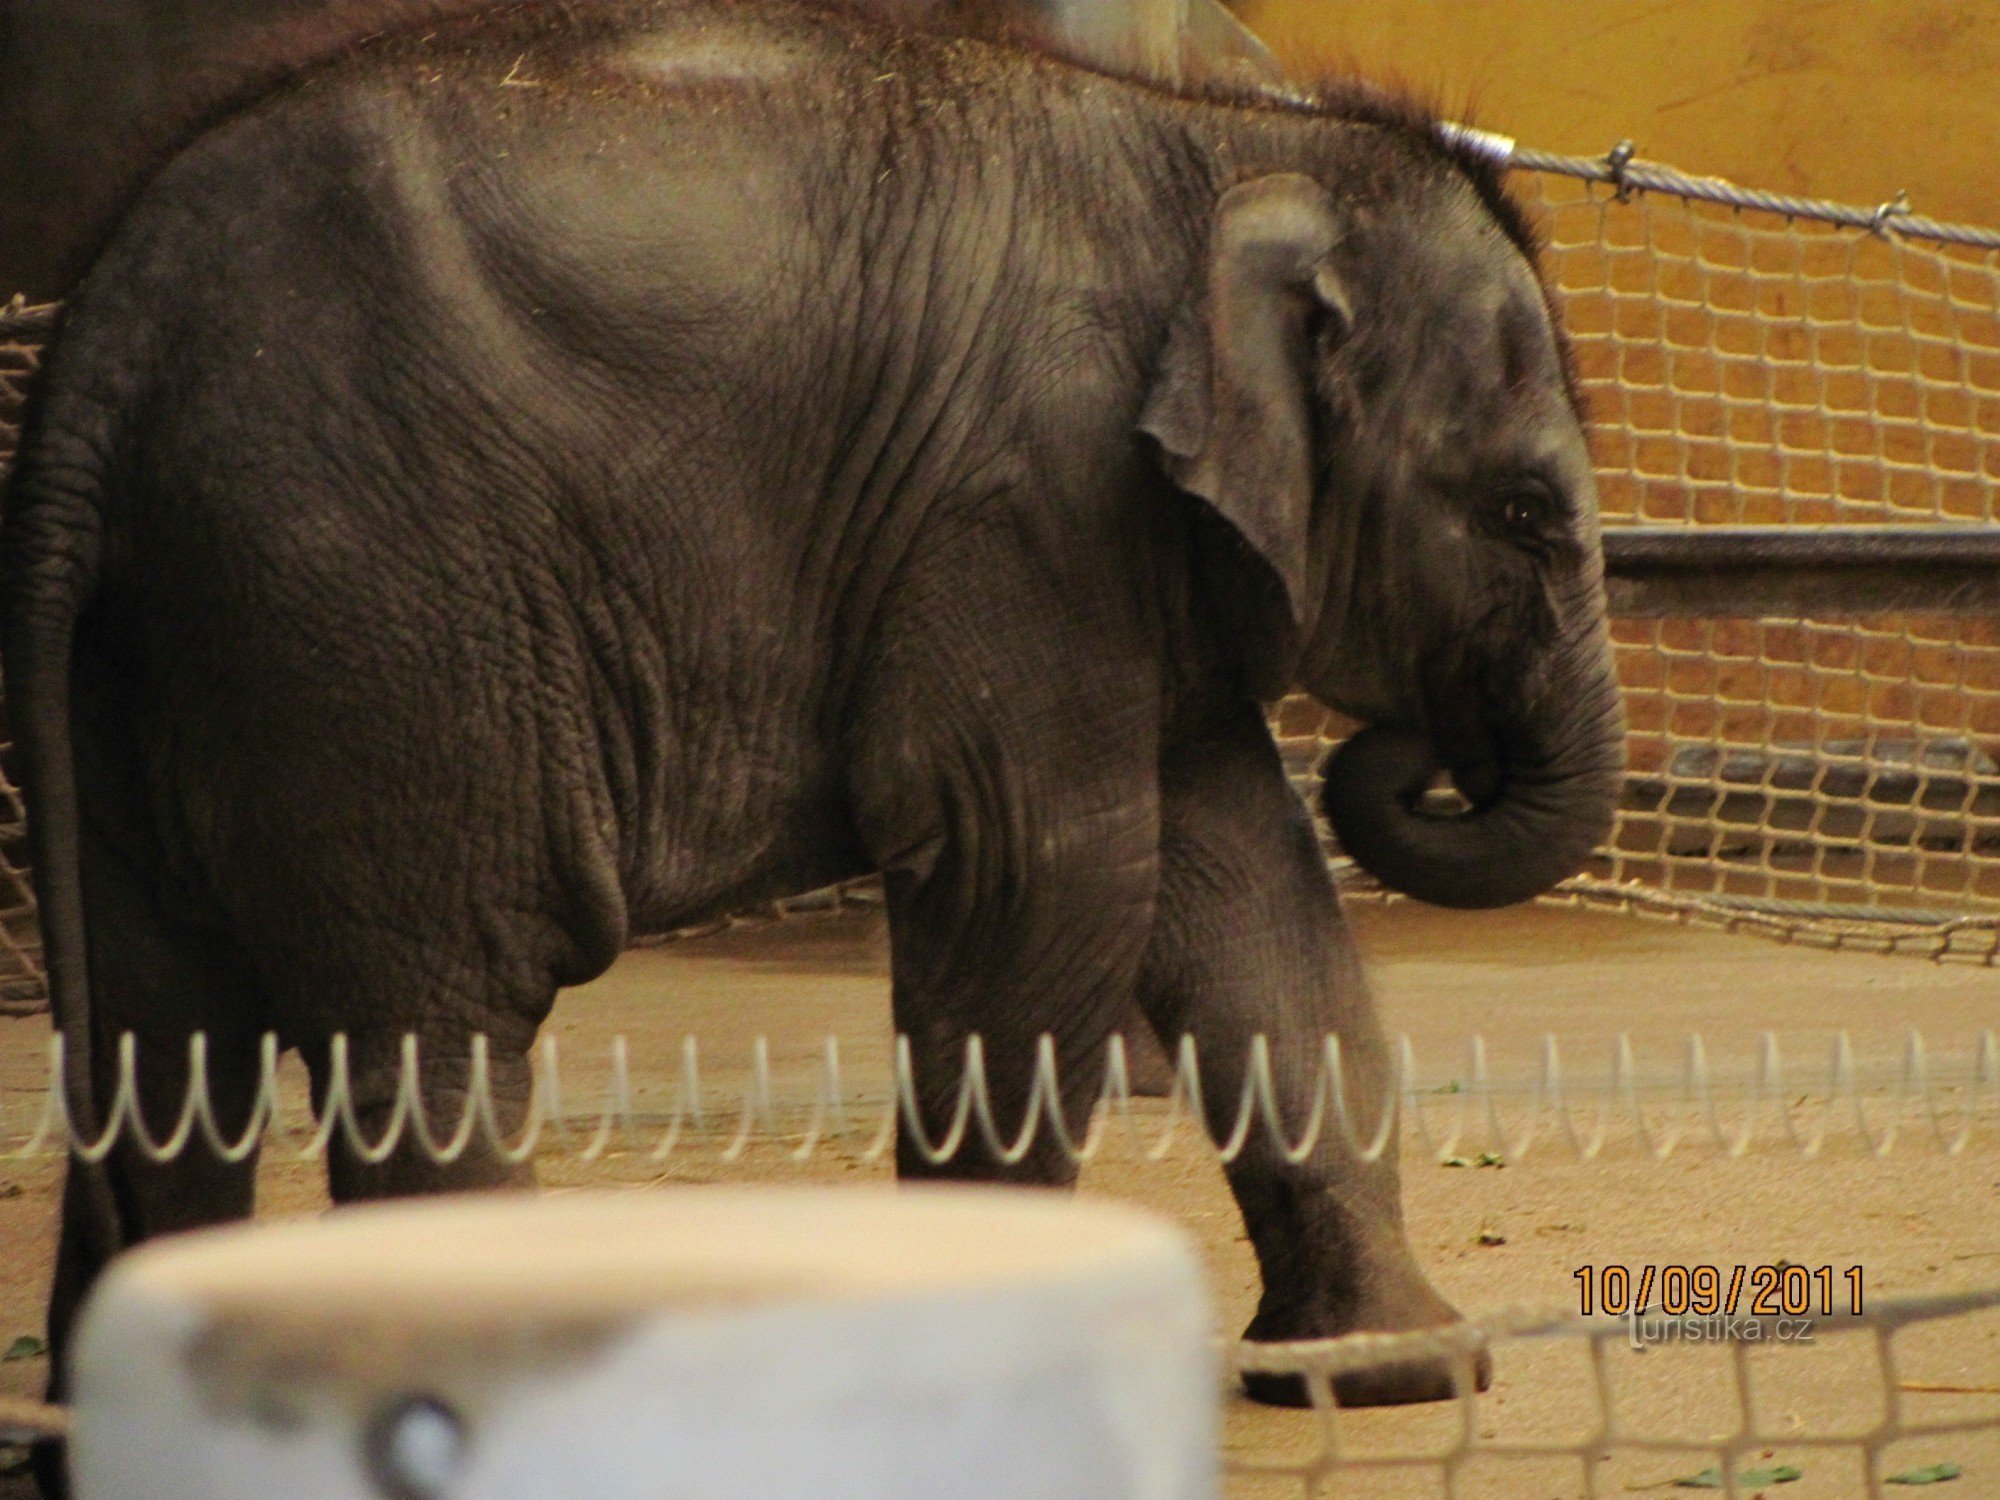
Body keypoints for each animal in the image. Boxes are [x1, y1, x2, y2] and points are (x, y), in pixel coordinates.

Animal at [7, 0, 1616, 1456]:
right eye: (1523, 513)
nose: (1418, 757)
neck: (1229, 143)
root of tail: (104, 337)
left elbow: (1249, 894)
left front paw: (1393, 1370)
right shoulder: (1026, 504)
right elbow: (1048, 879)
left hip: (169, 636)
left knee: (166, 1050)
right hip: (374, 602)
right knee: (437, 1018)